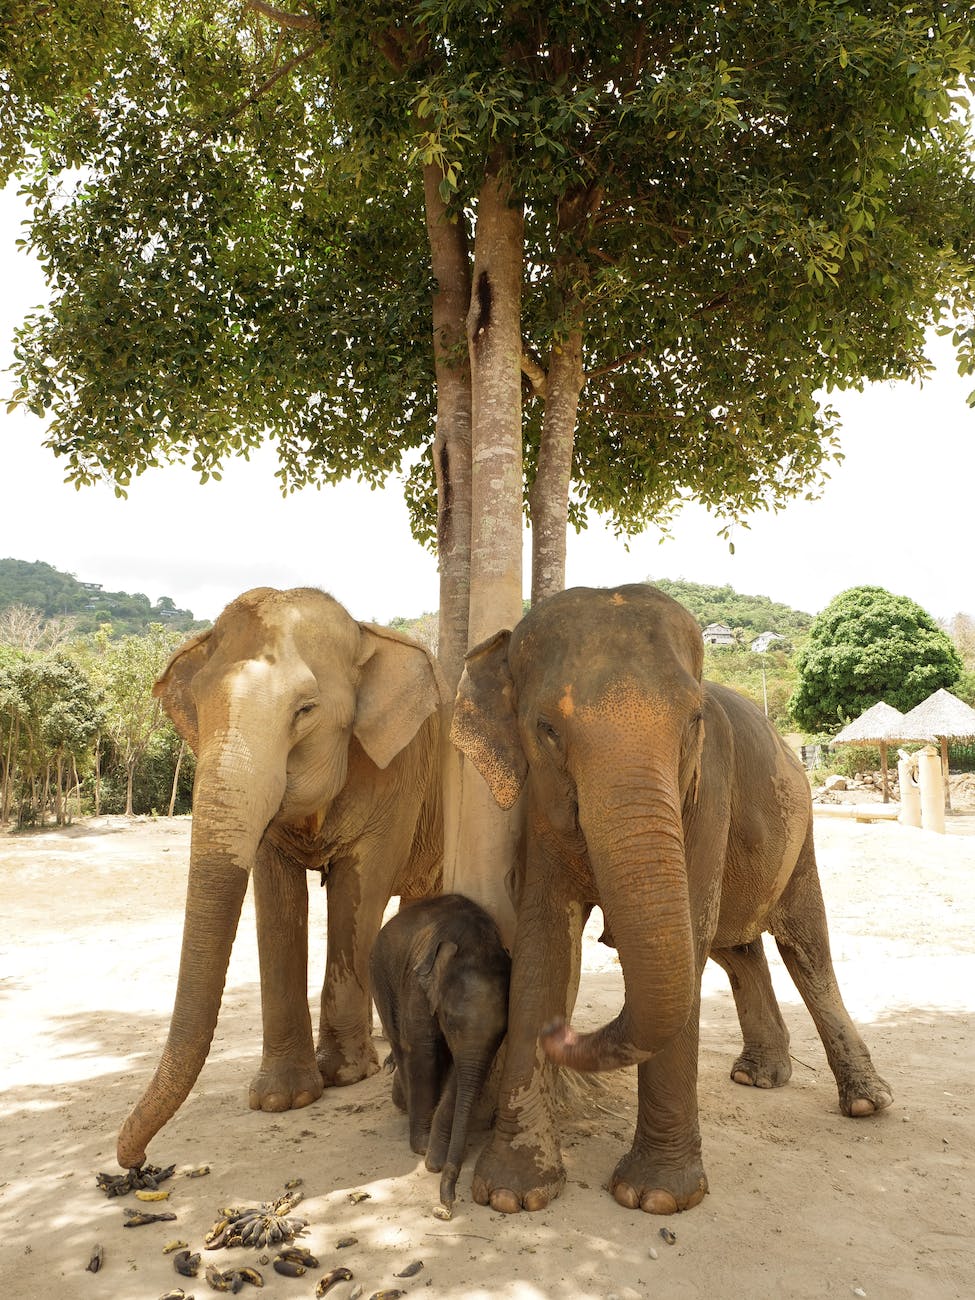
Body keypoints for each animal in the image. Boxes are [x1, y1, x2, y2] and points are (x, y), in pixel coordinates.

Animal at [117, 586, 445, 1170]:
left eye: (306, 710)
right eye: (198, 710)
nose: (136, 1165)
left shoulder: (400, 770)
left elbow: (358, 888)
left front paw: (344, 1074)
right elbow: (274, 898)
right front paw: (281, 1100)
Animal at [370, 893, 511, 1211]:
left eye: (503, 1032)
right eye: (449, 1020)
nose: (448, 1201)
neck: (475, 941)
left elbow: (461, 1071)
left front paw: (434, 1154)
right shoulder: (417, 985)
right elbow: (423, 1050)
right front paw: (423, 1147)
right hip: (380, 975)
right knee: (399, 1042)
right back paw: (404, 1104)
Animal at [450, 583, 892, 1216]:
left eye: (692, 722)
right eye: (546, 729)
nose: (563, 1034)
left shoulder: (709, 786)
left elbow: (687, 937)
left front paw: (656, 1197)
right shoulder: (540, 806)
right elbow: (543, 944)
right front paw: (511, 1194)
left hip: (802, 833)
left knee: (807, 950)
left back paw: (865, 1102)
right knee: (738, 949)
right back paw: (762, 1075)